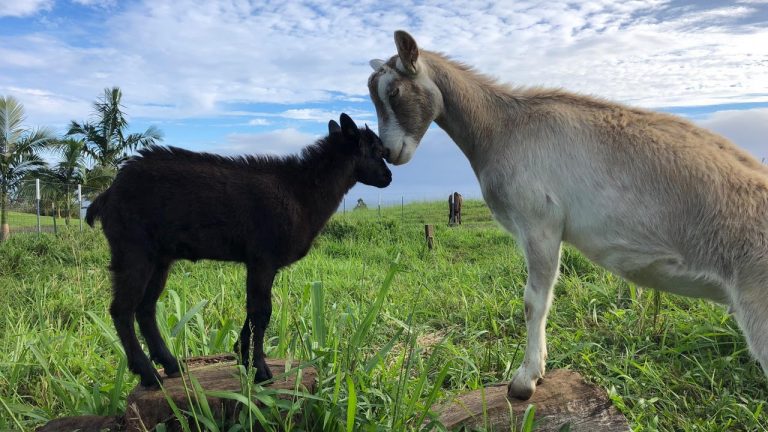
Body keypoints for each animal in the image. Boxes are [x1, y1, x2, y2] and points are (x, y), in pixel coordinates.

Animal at [366, 30, 768, 400]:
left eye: (394, 93)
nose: (389, 152)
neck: (502, 127)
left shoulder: (539, 222)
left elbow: (534, 302)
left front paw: (525, 380)